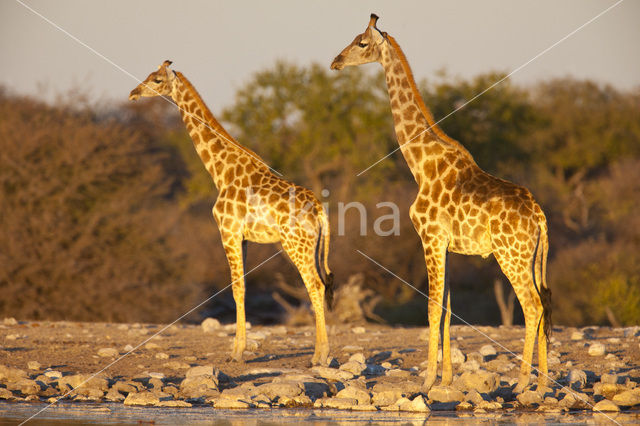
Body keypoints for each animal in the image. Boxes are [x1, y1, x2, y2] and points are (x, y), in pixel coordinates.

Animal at [130, 60, 336, 366]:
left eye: (156, 80)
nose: (133, 93)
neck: (221, 172)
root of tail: (320, 209)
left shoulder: (227, 232)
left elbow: (236, 288)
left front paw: (236, 353)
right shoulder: (244, 238)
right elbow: (244, 288)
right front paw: (239, 348)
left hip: (295, 244)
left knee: (315, 285)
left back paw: (319, 356)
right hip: (310, 245)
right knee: (320, 284)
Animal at [330, 14, 552, 392]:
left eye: (362, 42)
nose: (336, 62)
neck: (421, 164)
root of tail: (538, 214)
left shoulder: (430, 238)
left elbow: (433, 306)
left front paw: (427, 380)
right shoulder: (446, 245)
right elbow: (447, 308)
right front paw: (446, 377)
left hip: (511, 255)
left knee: (533, 305)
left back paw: (523, 383)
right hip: (533, 258)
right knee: (546, 301)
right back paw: (543, 384)